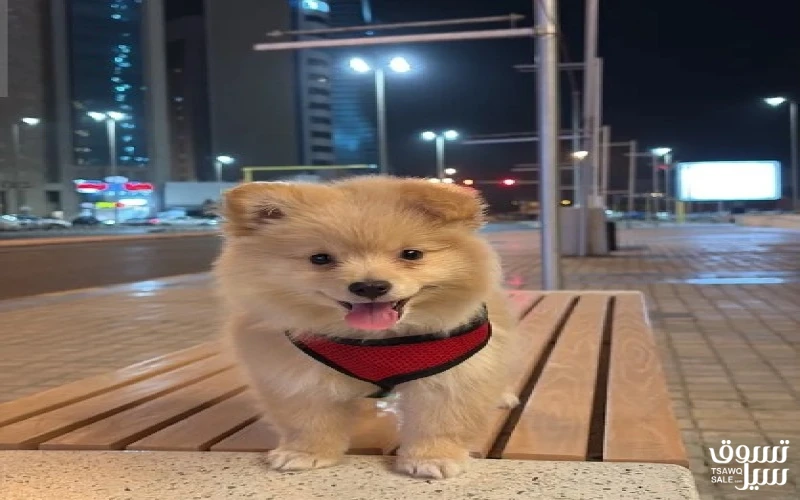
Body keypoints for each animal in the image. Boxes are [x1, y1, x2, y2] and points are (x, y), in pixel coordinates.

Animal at [214, 176, 518, 479]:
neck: (375, 340)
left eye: (411, 254)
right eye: (320, 259)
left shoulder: (450, 379)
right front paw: (305, 453)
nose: (370, 286)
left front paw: (433, 457)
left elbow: (439, 423)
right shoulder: (299, 377)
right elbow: (309, 421)